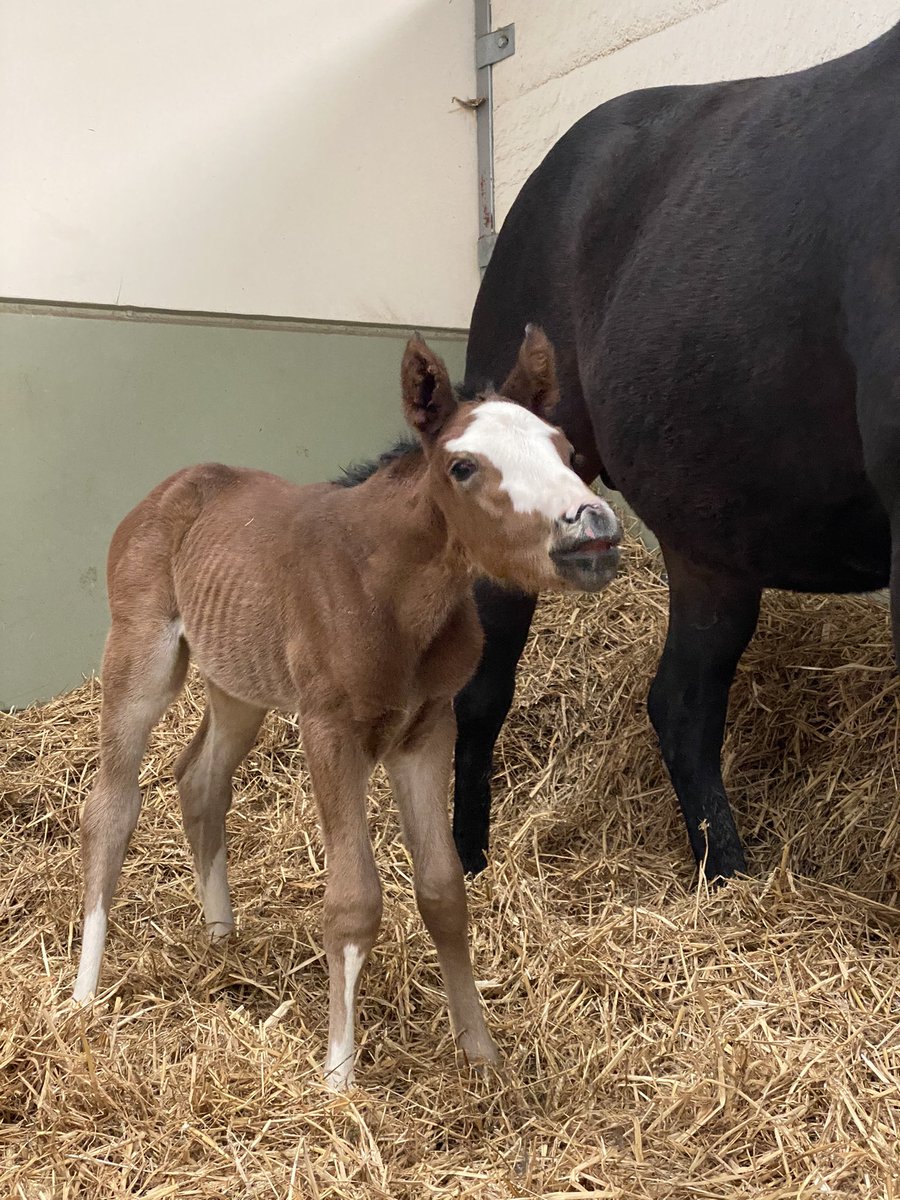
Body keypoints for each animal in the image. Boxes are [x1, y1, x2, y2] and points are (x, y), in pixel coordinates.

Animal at [72, 326, 619, 1089]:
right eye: (461, 467)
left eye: (566, 450)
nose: (591, 532)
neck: (392, 589)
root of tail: (175, 485)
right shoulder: (330, 730)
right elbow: (354, 901)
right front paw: (339, 1078)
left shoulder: (428, 727)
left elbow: (444, 891)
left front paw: (481, 1054)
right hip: (142, 654)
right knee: (111, 806)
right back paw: (82, 995)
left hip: (239, 681)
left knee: (200, 780)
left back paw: (221, 939)